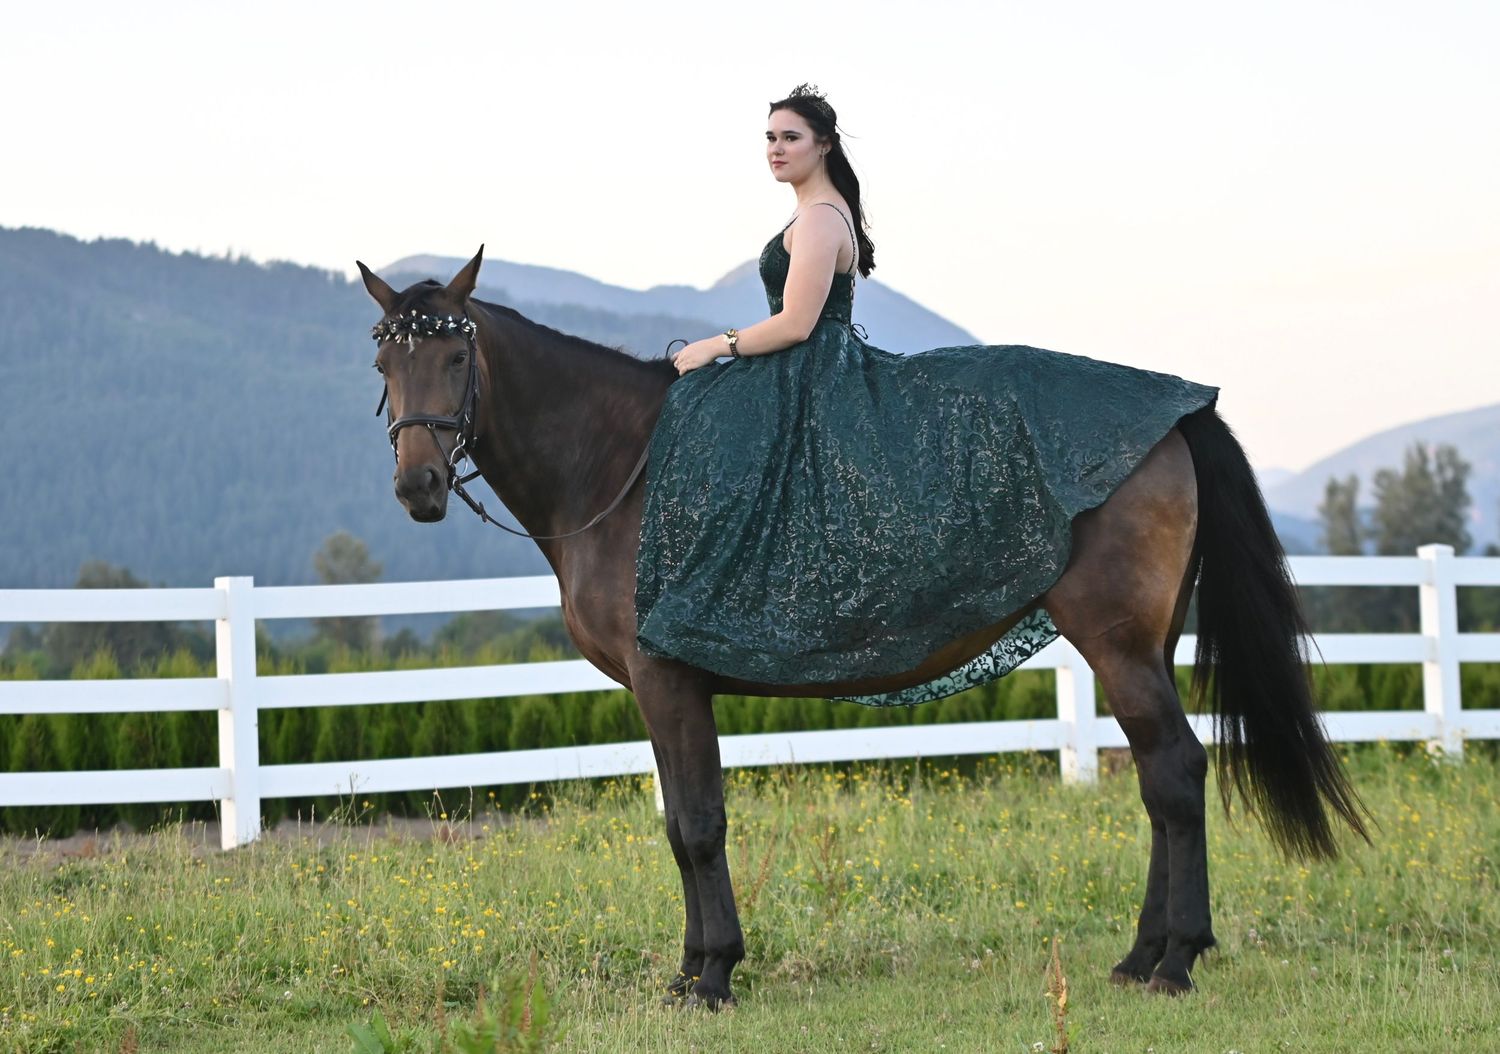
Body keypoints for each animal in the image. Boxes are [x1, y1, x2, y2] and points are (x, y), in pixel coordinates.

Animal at [356, 248, 1367, 1008]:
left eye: (457, 359)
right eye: (384, 365)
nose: (417, 486)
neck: (621, 463)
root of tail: (1175, 413)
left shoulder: (668, 682)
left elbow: (699, 825)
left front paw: (714, 976)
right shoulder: (658, 694)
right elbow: (681, 827)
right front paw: (691, 970)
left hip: (1118, 647)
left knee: (1177, 774)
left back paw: (1176, 960)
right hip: (1143, 648)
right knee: (1161, 784)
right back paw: (1138, 956)